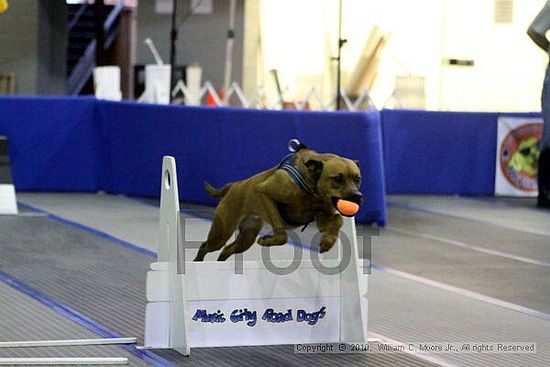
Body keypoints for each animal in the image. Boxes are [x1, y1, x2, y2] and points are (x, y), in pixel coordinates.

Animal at [192, 142, 364, 264]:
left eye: (357, 179)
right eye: (337, 179)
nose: (357, 196)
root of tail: (233, 185)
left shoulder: (323, 215)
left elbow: (338, 220)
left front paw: (328, 241)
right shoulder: (264, 193)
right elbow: (282, 236)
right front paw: (268, 240)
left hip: (246, 237)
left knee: (227, 250)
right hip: (221, 233)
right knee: (206, 246)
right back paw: (197, 261)